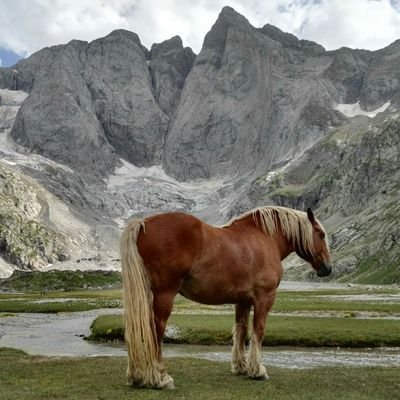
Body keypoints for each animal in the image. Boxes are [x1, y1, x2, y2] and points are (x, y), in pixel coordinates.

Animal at [120, 206, 332, 388]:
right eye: (321, 235)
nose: (328, 268)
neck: (265, 238)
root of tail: (143, 224)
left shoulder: (243, 300)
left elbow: (241, 330)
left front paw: (241, 367)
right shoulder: (264, 298)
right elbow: (258, 331)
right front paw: (258, 370)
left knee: (137, 328)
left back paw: (137, 376)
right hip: (165, 294)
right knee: (156, 330)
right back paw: (161, 378)